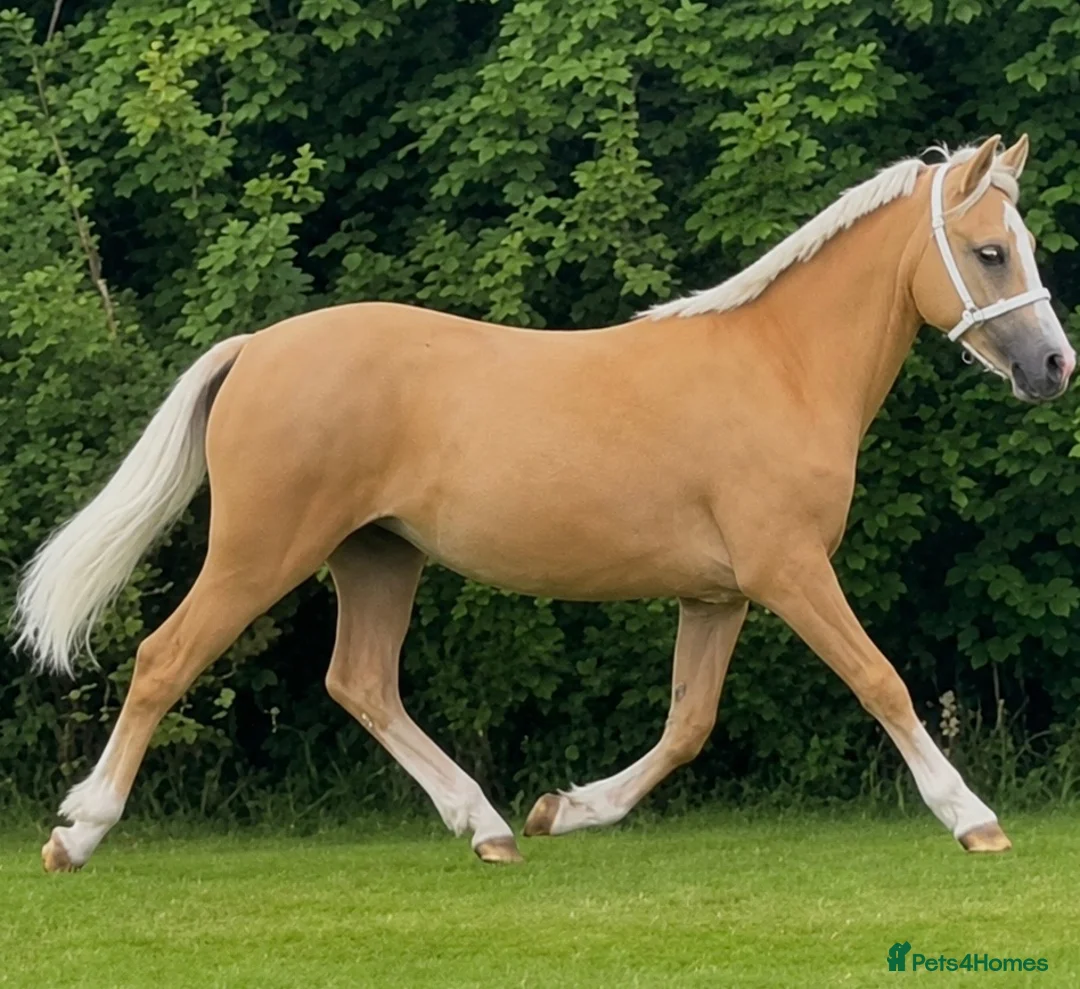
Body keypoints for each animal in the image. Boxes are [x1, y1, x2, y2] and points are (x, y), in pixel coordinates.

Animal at [16, 134, 1074, 872]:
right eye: (989, 251)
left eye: (1024, 245)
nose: (1055, 366)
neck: (779, 366)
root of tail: (258, 347)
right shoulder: (790, 572)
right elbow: (881, 680)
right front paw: (975, 820)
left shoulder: (720, 594)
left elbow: (688, 723)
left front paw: (566, 808)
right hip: (260, 552)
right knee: (165, 659)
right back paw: (78, 833)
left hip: (378, 555)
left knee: (362, 683)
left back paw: (489, 826)